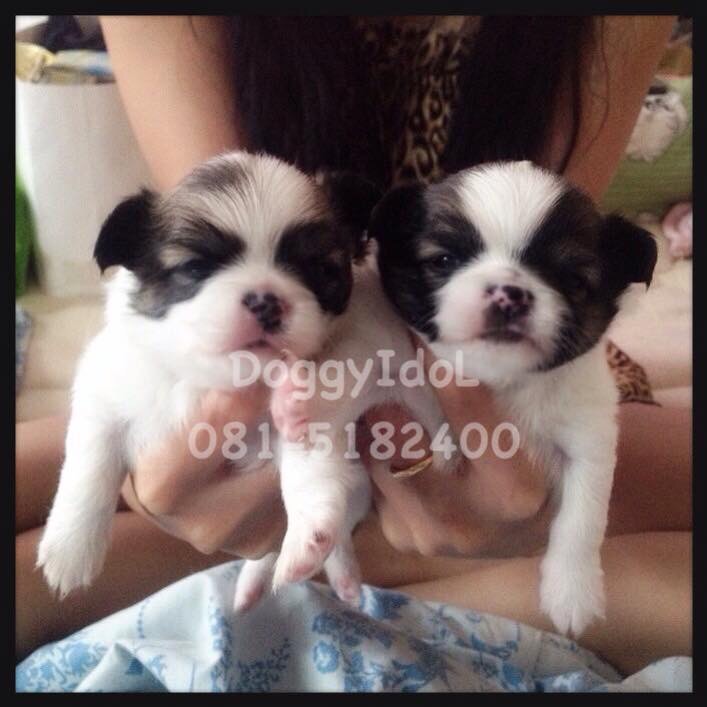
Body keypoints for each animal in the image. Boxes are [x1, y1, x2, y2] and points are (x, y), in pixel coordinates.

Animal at [370, 161, 657, 636]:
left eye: (571, 280)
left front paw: (572, 592)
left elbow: (582, 516)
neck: (504, 382)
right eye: (443, 261)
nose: (509, 293)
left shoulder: (589, 437)